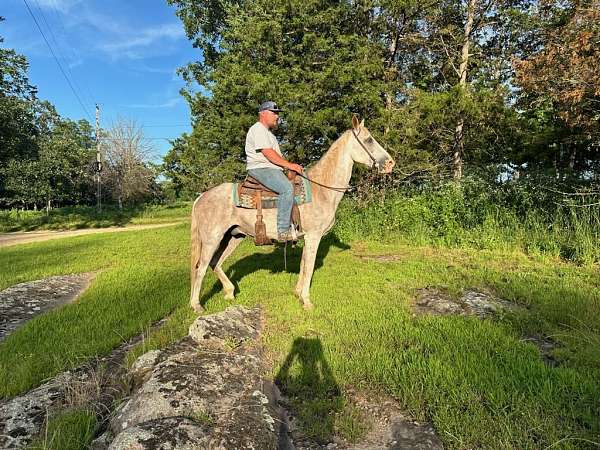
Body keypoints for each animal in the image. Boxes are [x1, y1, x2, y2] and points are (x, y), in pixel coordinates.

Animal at [188, 116, 394, 312]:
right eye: (368, 140)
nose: (390, 163)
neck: (321, 189)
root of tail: (201, 197)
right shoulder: (313, 236)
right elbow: (309, 268)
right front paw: (307, 302)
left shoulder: (306, 237)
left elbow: (303, 265)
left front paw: (298, 294)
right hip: (212, 239)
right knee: (201, 267)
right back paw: (196, 305)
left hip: (233, 236)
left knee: (215, 263)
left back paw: (230, 292)